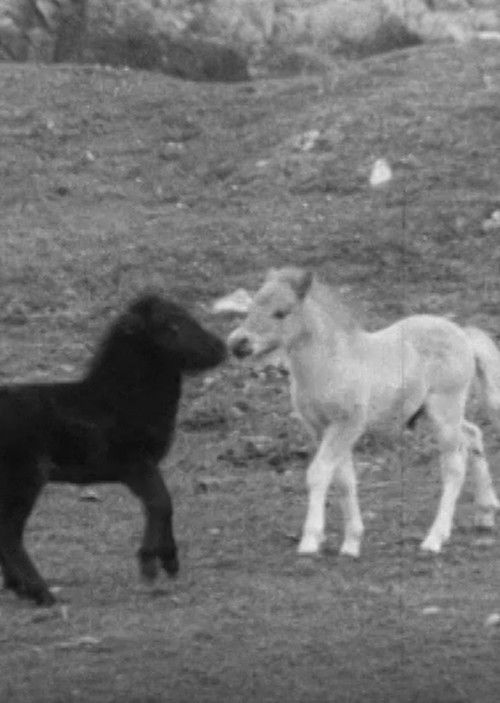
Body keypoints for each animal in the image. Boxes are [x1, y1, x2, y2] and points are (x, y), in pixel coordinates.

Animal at [0, 293, 226, 606]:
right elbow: (161, 501)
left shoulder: (138, 467)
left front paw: (169, 562)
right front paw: (150, 564)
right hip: (23, 476)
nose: (222, 348)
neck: (121, 398)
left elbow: (159, 503)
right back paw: (40, 592)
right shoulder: (134, 462)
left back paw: (19, 587)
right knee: (9, 533)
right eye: (172, 325)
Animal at [227, 267, 500, 558]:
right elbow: (344, 480)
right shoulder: (321, 428)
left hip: (444, 409)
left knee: (454, 465)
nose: (237, 343)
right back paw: (485, 512)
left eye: (281, 312)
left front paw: (311, 540)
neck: (330, 365)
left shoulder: (348, 424)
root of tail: (462, 333)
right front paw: (351, 543)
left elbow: (319, 473)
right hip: (433, 412)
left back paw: (434, 538)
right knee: (472, 434)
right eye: (251, 306)